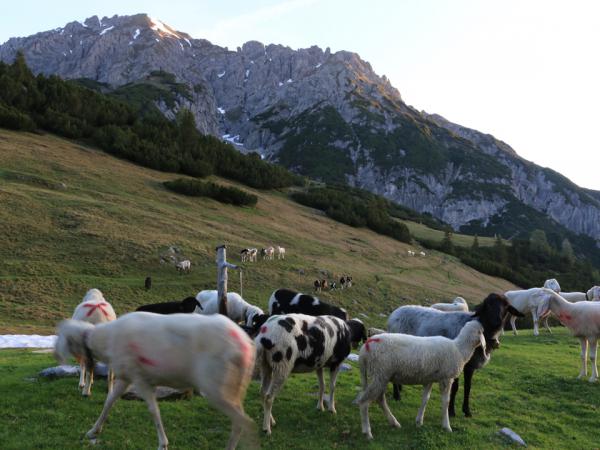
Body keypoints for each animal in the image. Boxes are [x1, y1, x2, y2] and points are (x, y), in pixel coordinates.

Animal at [53, 312, 255, 450]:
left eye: (62, 336)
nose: (55, 355)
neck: (105, 341)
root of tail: (244, 344)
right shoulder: (126, 377)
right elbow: (109, 401)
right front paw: (94, 430)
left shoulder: (140, 380)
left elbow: (153, 411)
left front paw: (163, 443)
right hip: (233, 387)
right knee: (240, 421)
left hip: (216, 386)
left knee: (245, 422)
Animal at [354, 320, 486, 440]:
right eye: (482, 331)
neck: (459, 349)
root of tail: (365, 348)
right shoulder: (446, 378)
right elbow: (445, 402)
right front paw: (446, 426)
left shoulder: (429, 379)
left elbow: (425, 399)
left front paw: (419, 421)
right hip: (379, 373)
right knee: (364, 402)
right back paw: (367, 432)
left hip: (380, 375)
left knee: (380, 399)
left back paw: (394, 422)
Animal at [390, 294, 520, 416]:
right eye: (488, 304)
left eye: (506, 306)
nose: (497, 321)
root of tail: (395, 313)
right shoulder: (456, 360)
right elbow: (455, 387)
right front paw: (451, 411)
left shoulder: (470, 366)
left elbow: (468, 387)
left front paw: (467, 411)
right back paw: (397, 395)